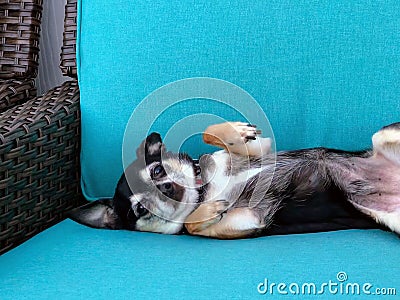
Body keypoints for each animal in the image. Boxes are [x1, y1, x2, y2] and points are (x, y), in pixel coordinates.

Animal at [69, 120, 400, 238]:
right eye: (140, 210)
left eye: (157, 171)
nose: (168, 188)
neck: (204, 190)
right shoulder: (250, 219)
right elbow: (193, 225)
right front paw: (206, 212)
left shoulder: (257, 150)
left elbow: (213, 133)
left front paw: (237, 129)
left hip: (382, 135)